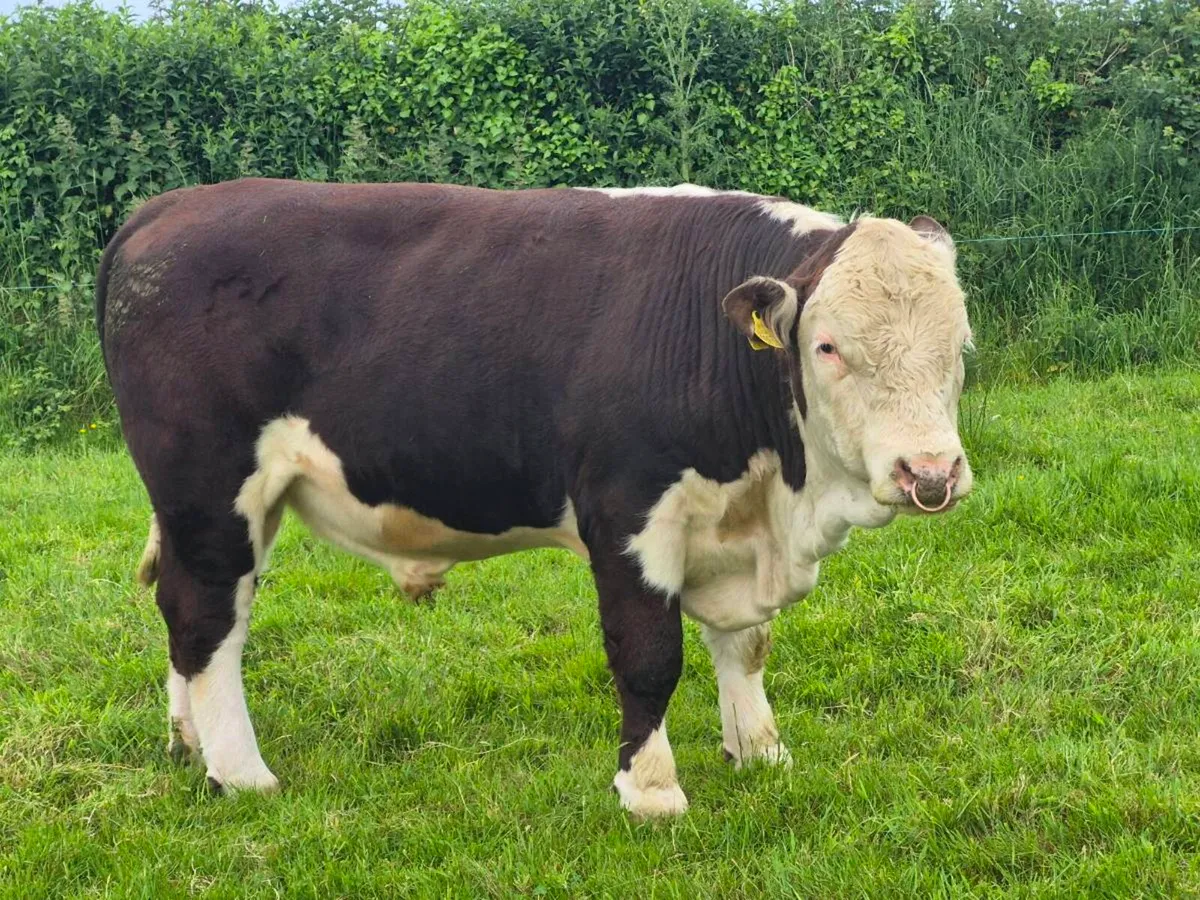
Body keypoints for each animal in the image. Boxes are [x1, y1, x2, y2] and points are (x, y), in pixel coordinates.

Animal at [96, 179, 973, 817]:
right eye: (827, 347)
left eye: (960, 345)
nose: (929, 472)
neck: (778, 499)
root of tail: (168, 205)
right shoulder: (627, 512)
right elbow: (648, 656)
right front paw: (651, 791)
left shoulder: (733, 528)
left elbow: (747, 645)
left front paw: (759, 752)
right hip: (210, 487)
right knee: (208, 616)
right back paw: (242, 774)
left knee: (189, 610)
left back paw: (189, 741)